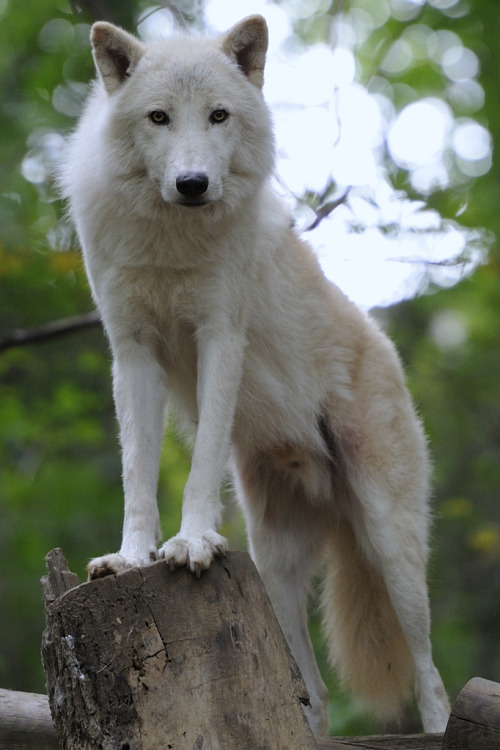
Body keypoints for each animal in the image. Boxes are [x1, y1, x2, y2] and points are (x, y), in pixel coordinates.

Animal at [60, 14, 452, 736]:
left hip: (391, 545)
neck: (171, 241)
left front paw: (188, 544)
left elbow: (199, 462)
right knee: (314, 692)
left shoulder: (221, 338)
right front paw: (130, 557)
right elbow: (137, 473)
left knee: (429, 673)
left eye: (219, 116)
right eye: (159, 117)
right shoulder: (131, 353)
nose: (192, 183)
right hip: (274, 567)